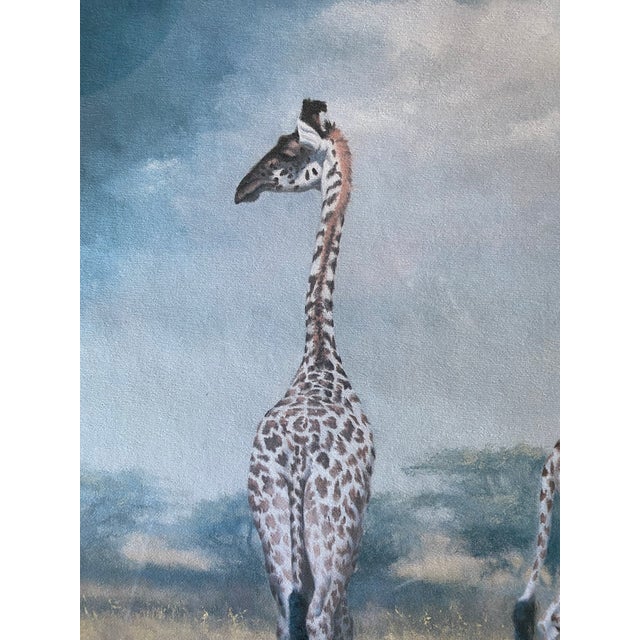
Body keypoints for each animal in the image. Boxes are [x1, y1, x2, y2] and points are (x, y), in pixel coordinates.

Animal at [235, 99, 374, 640]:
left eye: (287, 152)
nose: (242, 188)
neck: (319, 354)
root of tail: (297, 455)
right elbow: (344, 621)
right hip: (335, 533)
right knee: (319, 616)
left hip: (273, 526)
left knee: (287, 613)